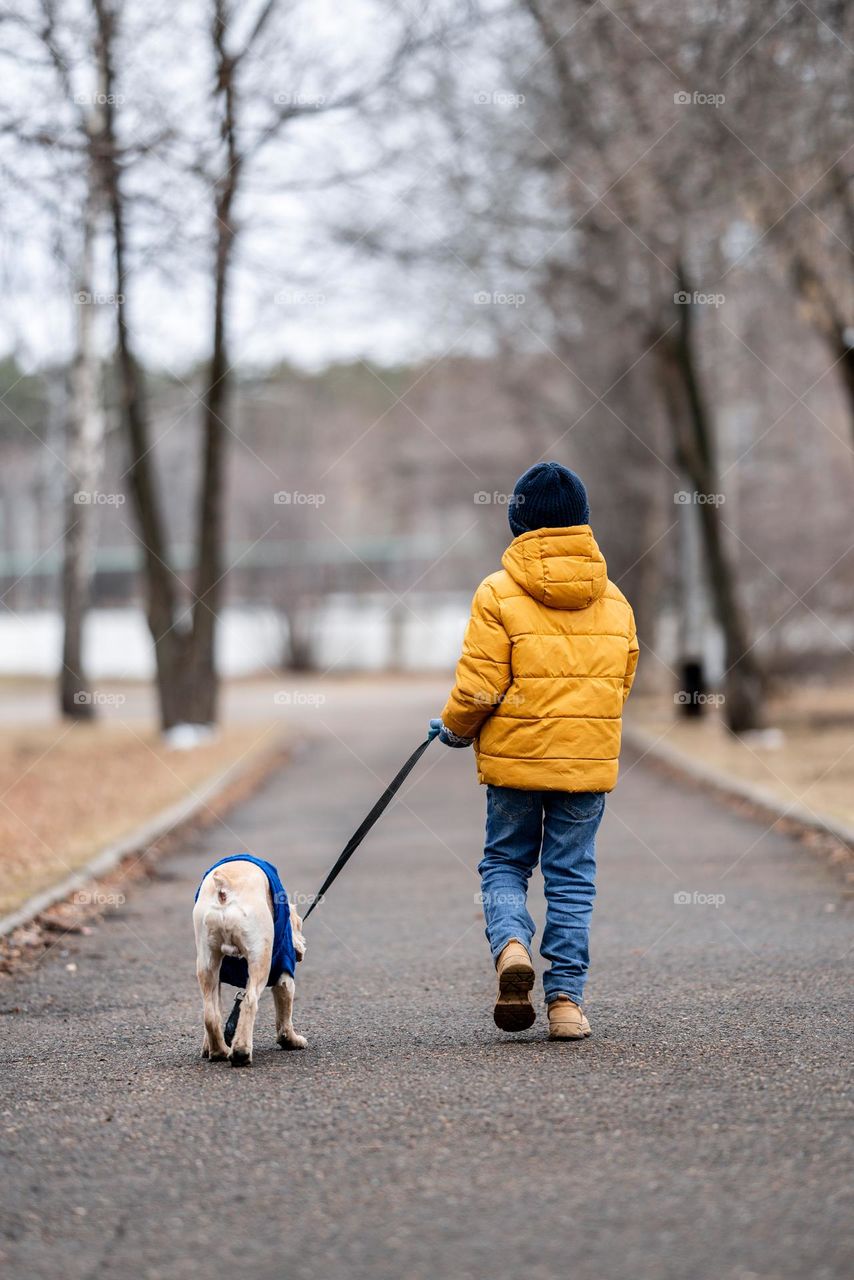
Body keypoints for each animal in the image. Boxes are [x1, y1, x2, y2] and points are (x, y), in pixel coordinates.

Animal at [192, 855, 306, 1064]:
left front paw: (206, 1048)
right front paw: (292, 1041)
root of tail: (224, 886)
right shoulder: (283, 974)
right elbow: (285, 1017)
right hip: (260, 960)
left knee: (210, 1014)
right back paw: (241, 1052)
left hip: (207, 961)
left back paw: (220, 1051)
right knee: (249, 1002)